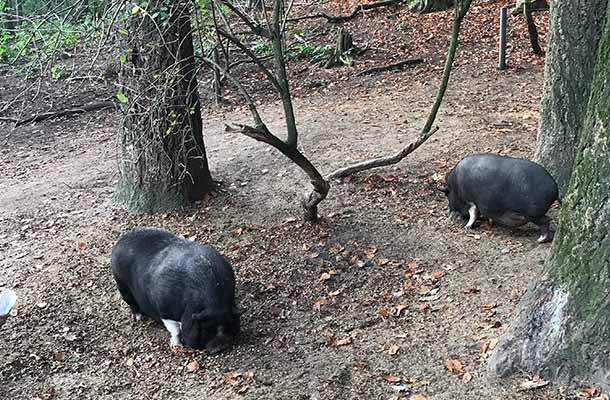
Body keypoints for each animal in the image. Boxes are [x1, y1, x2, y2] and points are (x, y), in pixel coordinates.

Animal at [110, 228, 239, 354]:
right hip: (121, 284)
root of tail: (119, 242)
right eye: (205, 329)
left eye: (228, 324)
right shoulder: (165, 310)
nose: (220, 348)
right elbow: (175, 329)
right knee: (131, 303)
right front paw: (176, 346)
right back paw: (138, 318)